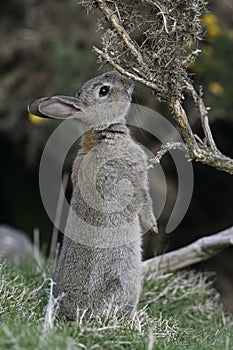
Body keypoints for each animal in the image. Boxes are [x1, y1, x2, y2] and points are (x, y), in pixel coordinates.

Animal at [28, 70, 157, 320]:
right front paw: (153, 226)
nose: (126, 79)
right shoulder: (130, 180)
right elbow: (143, 201)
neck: (101, 133)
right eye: (103, 91)